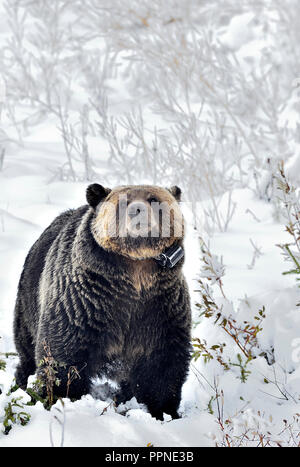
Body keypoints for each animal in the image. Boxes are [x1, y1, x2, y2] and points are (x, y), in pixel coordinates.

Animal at [13, 183, 190, 420]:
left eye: (153, 199)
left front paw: (164, 411)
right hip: (29, 301)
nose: (137, 211)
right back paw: (23, 384)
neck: (136, 272)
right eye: (123, 202)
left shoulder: (160, 309)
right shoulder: (85, 304)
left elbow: (162, 366)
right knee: (27, 352)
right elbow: (63, 354)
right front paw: (61, 397)